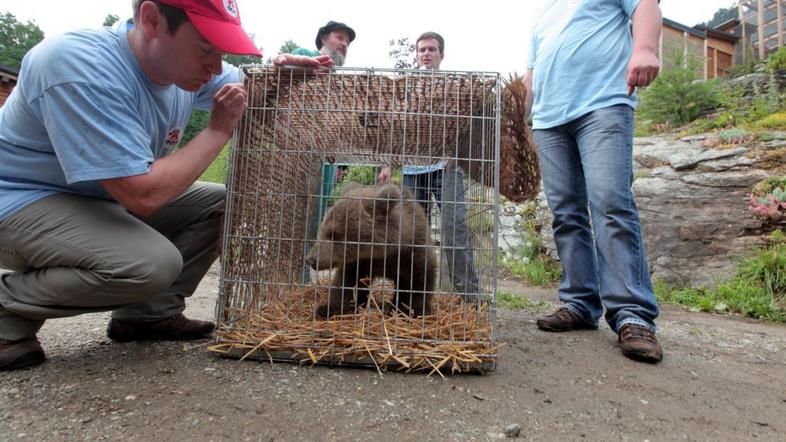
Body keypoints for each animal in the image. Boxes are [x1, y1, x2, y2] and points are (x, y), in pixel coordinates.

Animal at [304, 183, 434, 318]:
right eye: (323, 231)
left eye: (335, 234)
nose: (310, 259)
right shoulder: (360, 262)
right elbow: (345, 281)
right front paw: (328, 308)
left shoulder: (411, 254)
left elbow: (417, 283)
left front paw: (408, 311)